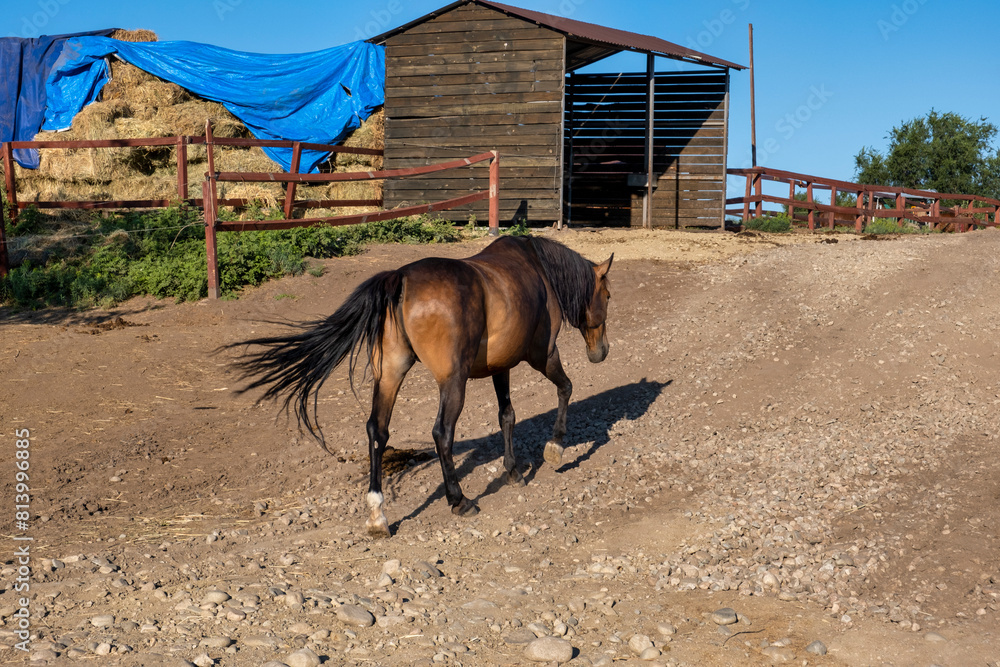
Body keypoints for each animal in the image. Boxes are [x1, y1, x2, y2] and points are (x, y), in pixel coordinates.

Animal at [230, 235, 612, 536]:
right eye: (607, 296)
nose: (602, 351)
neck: (537, 269)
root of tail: (400, 279)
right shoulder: (542, 354)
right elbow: (565, 388)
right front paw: (555, 447)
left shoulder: (500, 366)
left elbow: (507, 416)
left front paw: (513, 470)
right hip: (452, 382)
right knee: (442, 433)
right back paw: (459, 500)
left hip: (390, 375)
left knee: (377, 431)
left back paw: (378, 515)